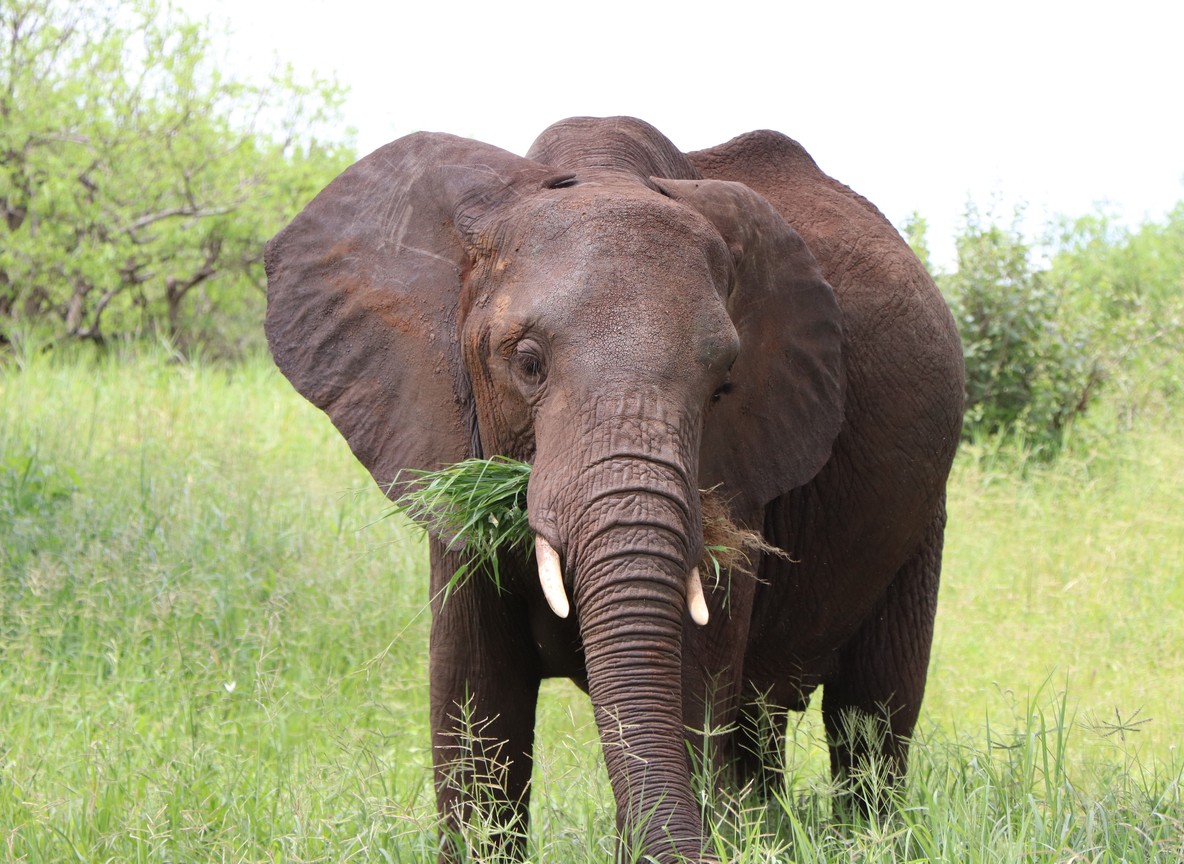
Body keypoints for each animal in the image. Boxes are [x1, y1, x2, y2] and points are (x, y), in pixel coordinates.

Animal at [264, 116, 964, 863]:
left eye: (723, 385)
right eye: (527, 363)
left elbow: (688, 697)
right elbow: (475, 707)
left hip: (924, 511)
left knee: (872, 713)